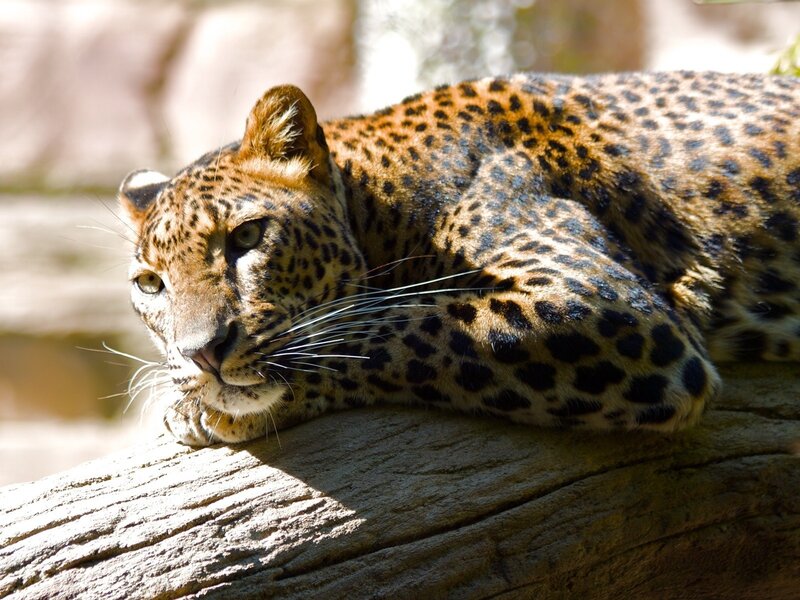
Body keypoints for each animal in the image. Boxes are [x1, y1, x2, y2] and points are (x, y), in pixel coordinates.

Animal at [119, 71, 800, 447]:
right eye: (150, 284)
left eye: (247, 237)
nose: (202, 354)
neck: (383, 200)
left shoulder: (602, 303)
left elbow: (403, 327)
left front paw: (203, 409)